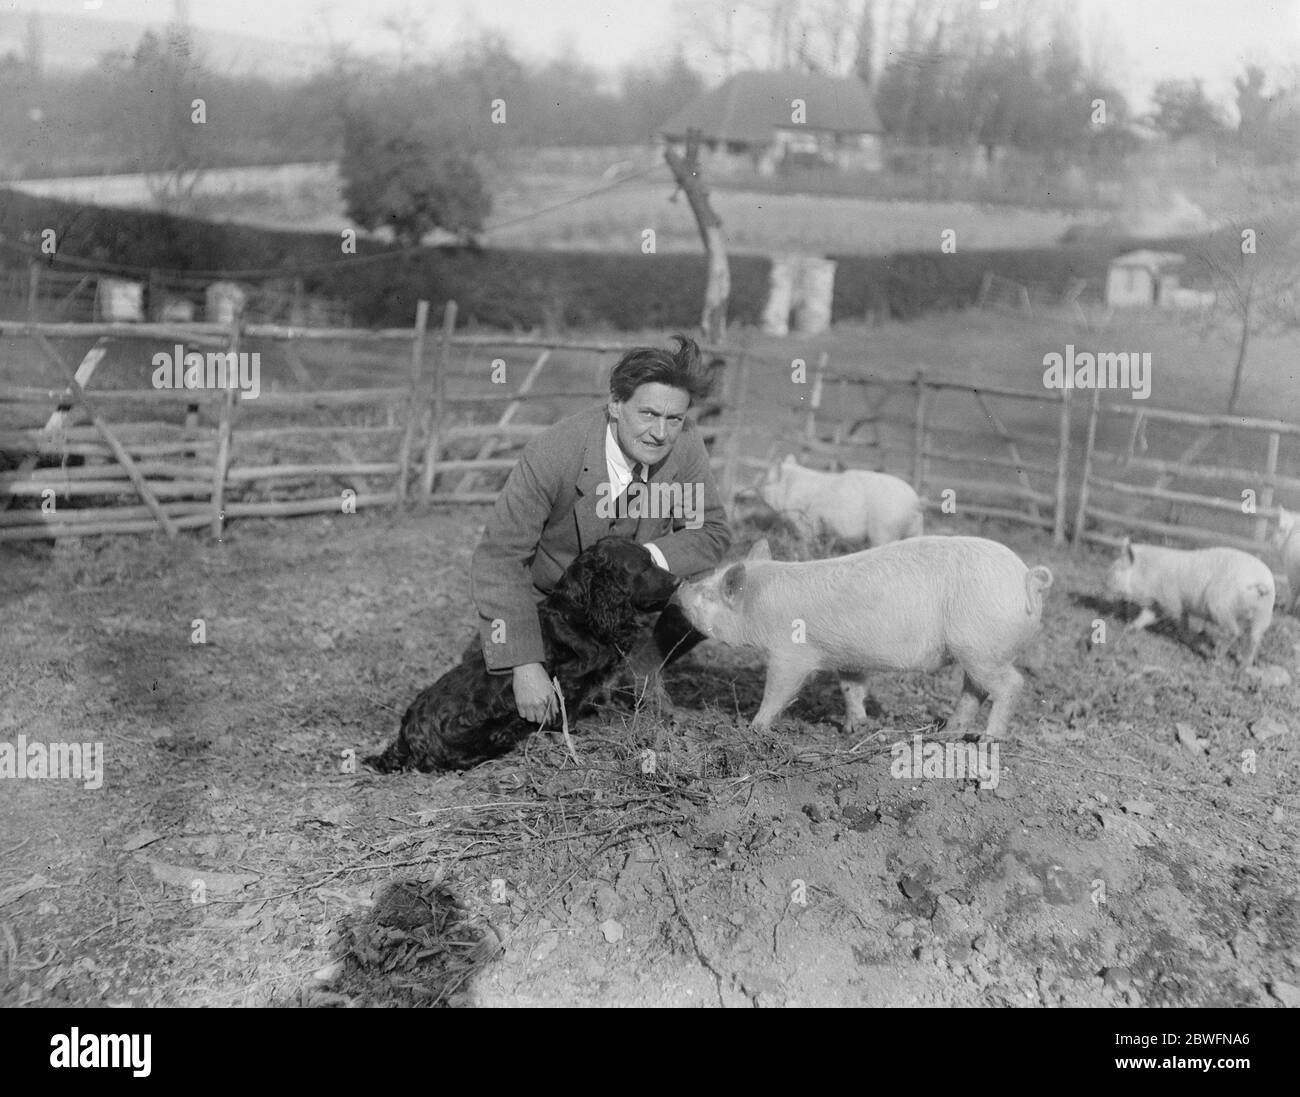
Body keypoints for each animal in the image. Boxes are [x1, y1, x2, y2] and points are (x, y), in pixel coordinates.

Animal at [361, 540, 676, 769]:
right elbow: (568, 715)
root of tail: (406, 736)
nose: (676, 580)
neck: (579, 614)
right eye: (644, 567)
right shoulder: (568, 684)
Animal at [676, 538, 1050, 738]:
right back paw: (947, 731)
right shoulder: (847, 655)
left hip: (981, 647)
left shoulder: (791, 653)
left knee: (1011, 684)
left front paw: (753, 727)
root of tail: (1026, 577)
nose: (680, 586)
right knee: (975, 690)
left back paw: (987, 739)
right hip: (976, 652)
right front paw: (852, 728)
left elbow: (778, 689)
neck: (759, 604)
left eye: (709, 596)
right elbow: (851, 687)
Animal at [754, 454, 925, 543]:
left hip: (885, 528)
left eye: (765, 479)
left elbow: (807, 540)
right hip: (916, 529)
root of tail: (915, 501)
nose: (755, 486)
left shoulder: (806, 521)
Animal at [1102, 535, 1274, 665]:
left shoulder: (1171, 600)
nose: (1103, 583)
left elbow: (1180, 620)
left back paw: (1214, 659)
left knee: (1233, 632)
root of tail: (1261, 581)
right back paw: (1244, 666)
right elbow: (1146, 617)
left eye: (1116, 569)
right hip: (1263, 615)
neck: (1147, 574)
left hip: (1220, 604)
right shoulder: (1158, 602)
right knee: (1254, 638)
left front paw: (1187, 640)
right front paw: (1130, 628)